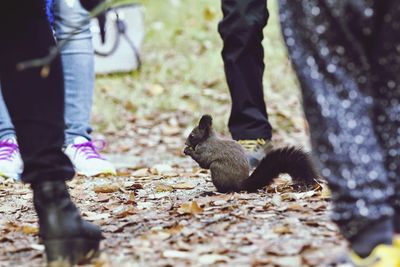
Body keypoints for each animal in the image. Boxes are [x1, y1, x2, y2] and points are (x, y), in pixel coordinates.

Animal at [184, 114, 318, 193]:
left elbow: (203, 161)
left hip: (217, 169)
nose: (185, 143)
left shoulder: (207, 150)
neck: (207, 139)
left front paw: (188, 151)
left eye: (192, 135)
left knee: (226, 189)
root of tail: (240, 185)